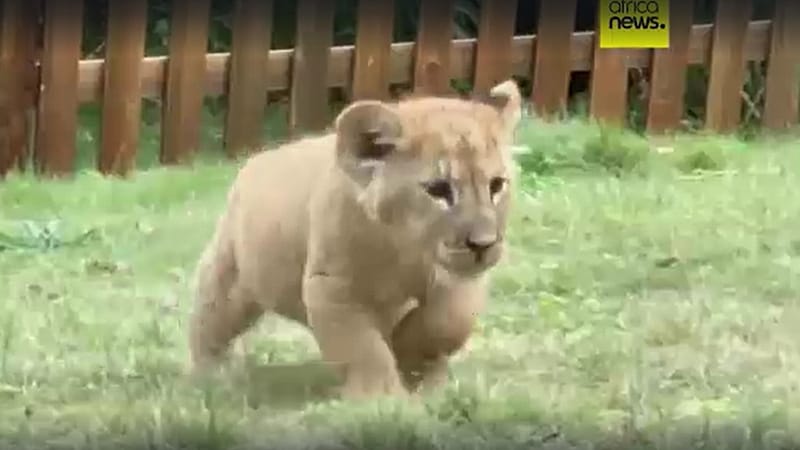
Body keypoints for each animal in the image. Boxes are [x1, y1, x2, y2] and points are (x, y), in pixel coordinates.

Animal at [188, 79, 523, 400]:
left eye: (496, 185)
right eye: (438, 190)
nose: (483, 244)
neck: (404, 248)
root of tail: (254, 161)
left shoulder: (458, 280)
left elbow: (448, 322)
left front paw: (413, 362)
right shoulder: (332, 286)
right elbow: (362, 347)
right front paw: (380, 398)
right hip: (229, 278)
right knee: (209, 322)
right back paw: (212, 376)